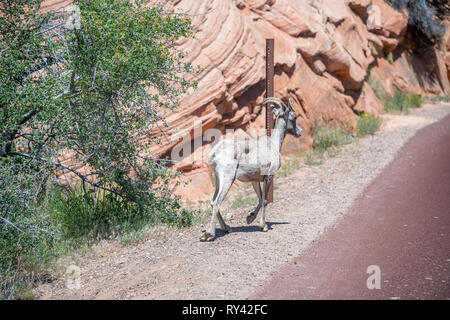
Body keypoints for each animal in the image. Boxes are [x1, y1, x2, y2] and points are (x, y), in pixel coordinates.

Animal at [200, 96, 302, 241]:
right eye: (294, 117)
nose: (299, 132)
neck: (273, 144)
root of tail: (215, 153)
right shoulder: (269, 176)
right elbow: (265, 200)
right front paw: (263, 226)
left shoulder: (255, 180)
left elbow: (260, 199)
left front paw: (250, 218)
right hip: (228, 179)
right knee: (216, 202)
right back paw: (208, 234)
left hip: (219, 180)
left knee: (212, 201)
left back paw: (226, 228)